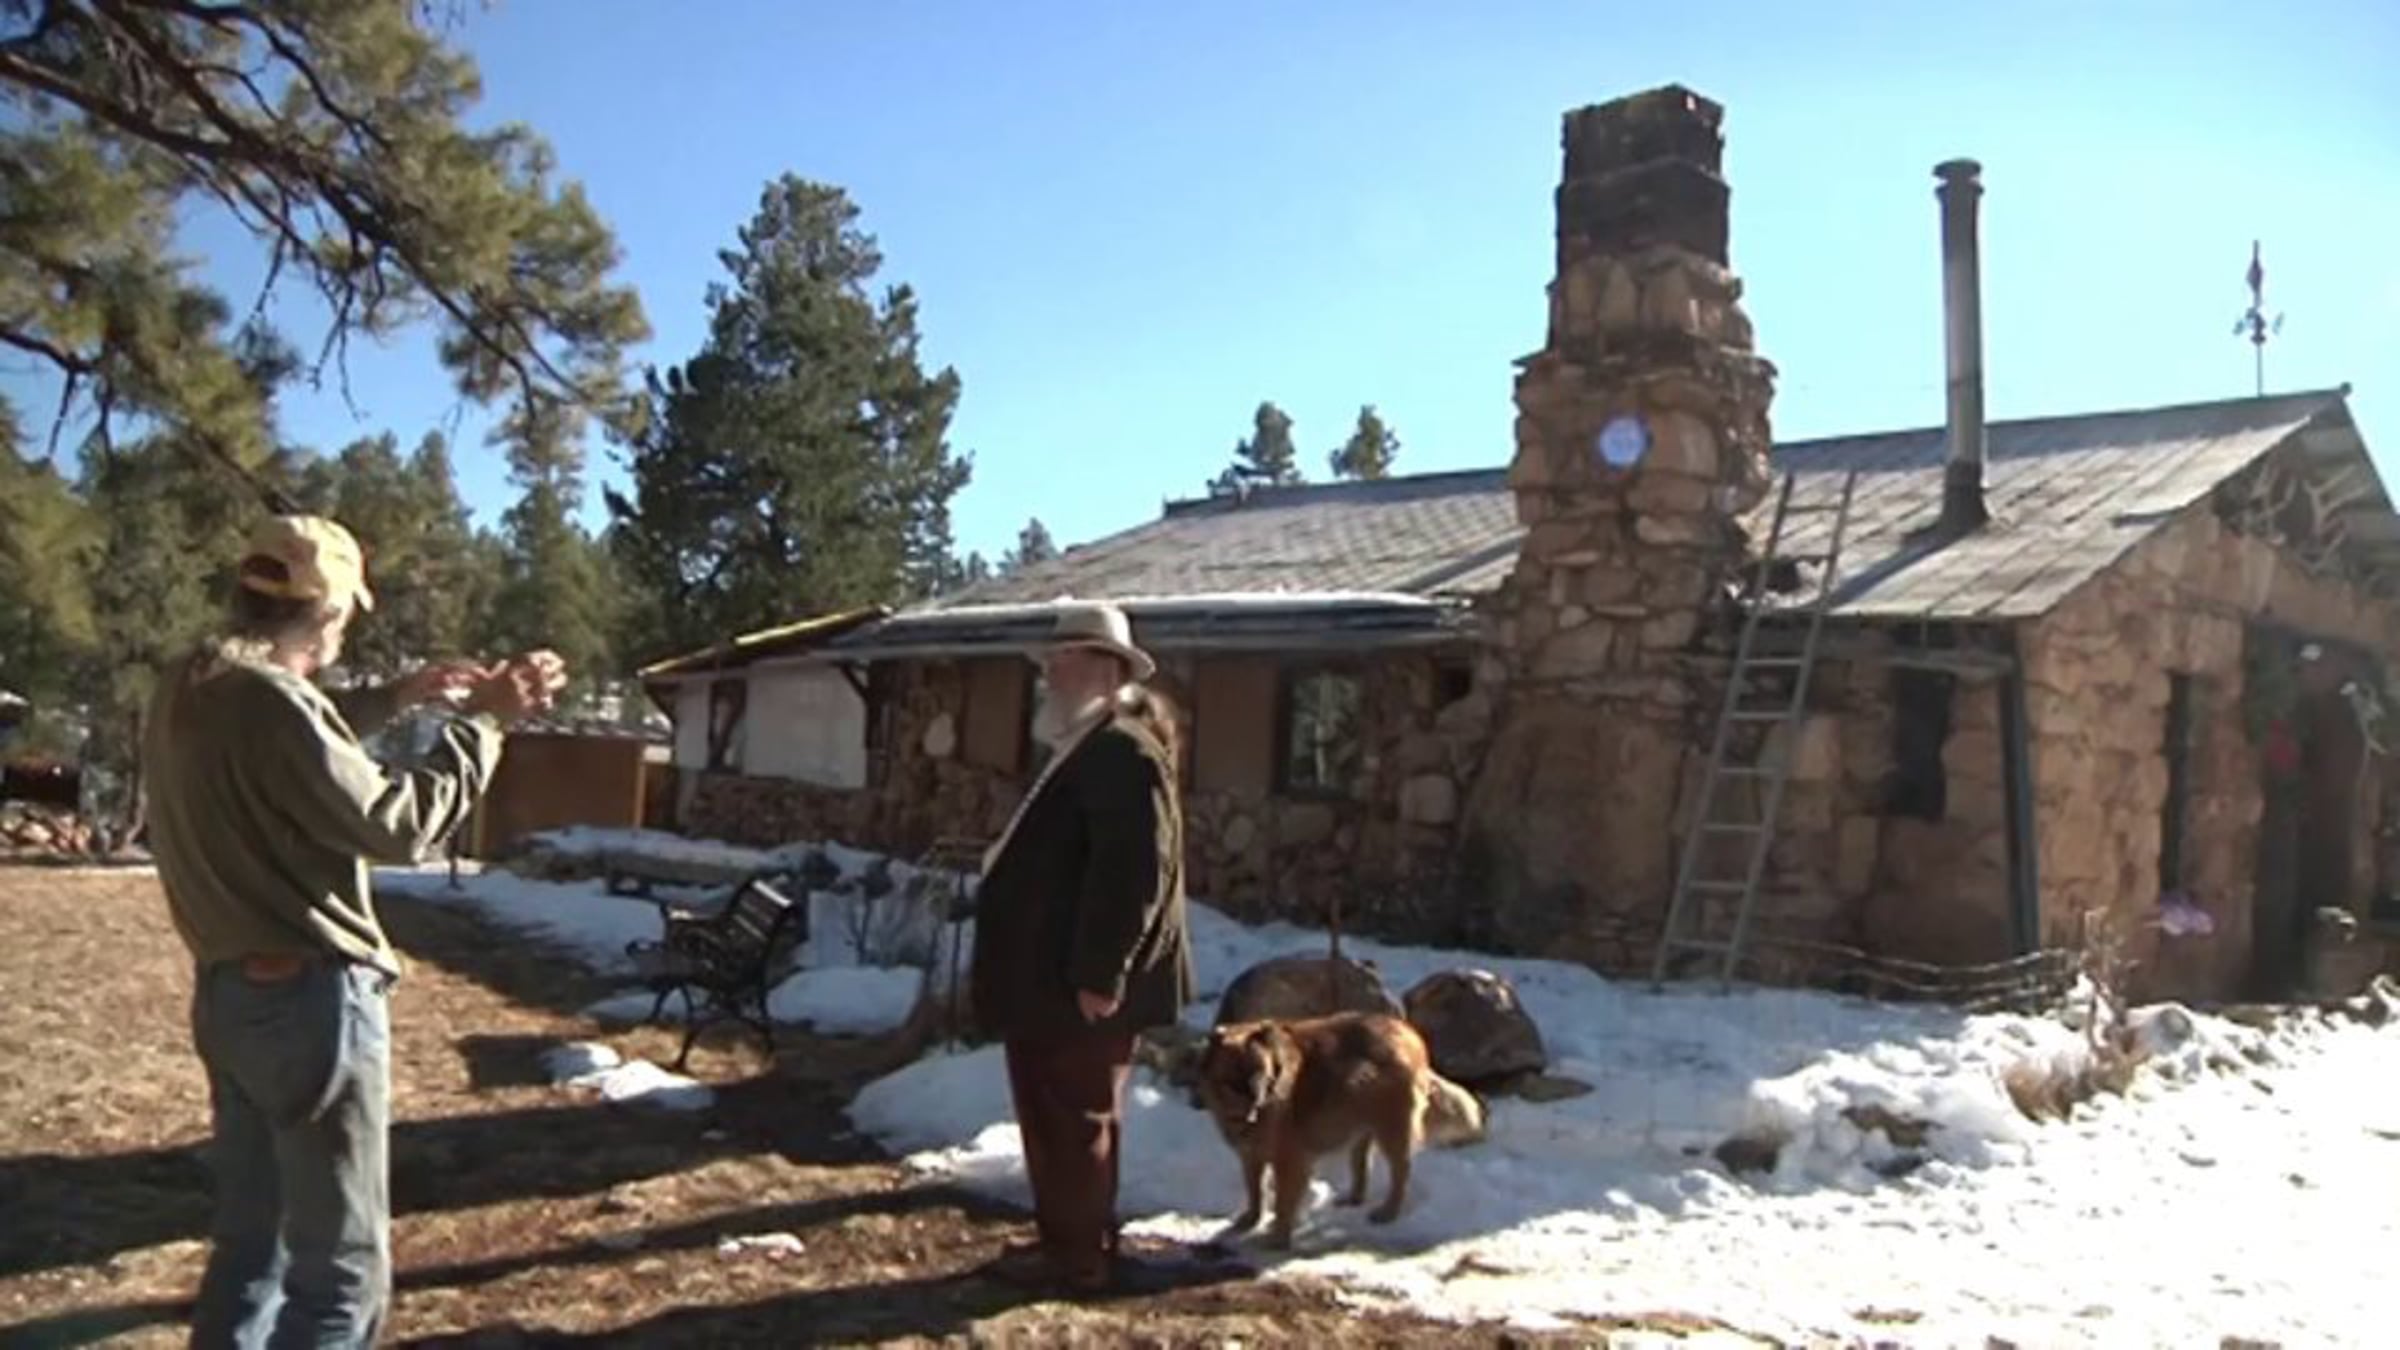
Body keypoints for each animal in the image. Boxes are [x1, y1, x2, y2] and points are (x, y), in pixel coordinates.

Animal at [1197, 1011, 1472, 1248]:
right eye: (1233, 1082)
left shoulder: (1290, 1161)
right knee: (1362, 1164)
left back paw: (1389, 1211)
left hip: (1392, 1129)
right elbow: (1256, 1190)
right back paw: (1354, 1198)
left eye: (1261, 1075)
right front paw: (1252, 1219)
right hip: (1361, 1127)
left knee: (1401, 1171)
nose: (1257, 1103)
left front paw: (1278, 1238)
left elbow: (1283, 1203)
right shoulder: (1251, 1156)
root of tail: (1408, 1031)